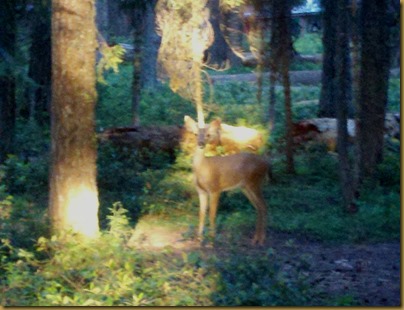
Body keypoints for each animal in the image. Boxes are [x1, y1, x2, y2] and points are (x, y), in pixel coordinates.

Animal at [185, 115, 270, 246]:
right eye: (195, 134)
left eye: (208, 135)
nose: (201, 143)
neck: (203, 168)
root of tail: (267, 164)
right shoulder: (201, 191)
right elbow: (201, 214)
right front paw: (198, 240)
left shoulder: (215, 189)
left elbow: (212, 214)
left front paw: (211, 241)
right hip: (246, 187)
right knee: (258, 207)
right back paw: (255, 238)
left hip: (255, 183)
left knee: (264, 206)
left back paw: (261, 239)